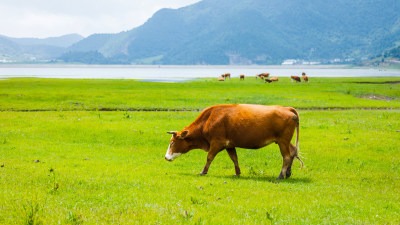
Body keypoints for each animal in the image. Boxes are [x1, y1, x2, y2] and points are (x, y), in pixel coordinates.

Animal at [165, 104, 304, 179]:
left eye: (172, 142)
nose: (166, 157)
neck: (208, 120)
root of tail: (287, 108)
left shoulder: (216, 143)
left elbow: (209, 157)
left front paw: (203, 172)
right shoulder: (229, 145)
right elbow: (234, 158)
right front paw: (237, 173)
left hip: (283, 141)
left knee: (286, 156)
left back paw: (280, 175)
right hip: (285, 141)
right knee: (293, 152)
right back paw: (288, 173)